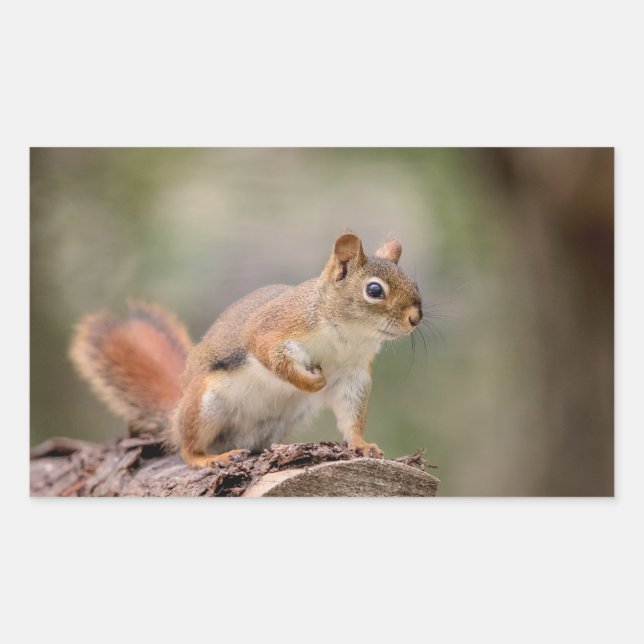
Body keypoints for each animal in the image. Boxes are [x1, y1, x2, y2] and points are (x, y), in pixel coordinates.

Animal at [69, 233, 423, 469]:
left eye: (414, 284)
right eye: (374, 290)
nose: (415, 318)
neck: (347, 336)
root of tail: (176, 411)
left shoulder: (352, 373)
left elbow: (351, 413)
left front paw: (362, 445)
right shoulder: (275, 328)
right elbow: (272, 357)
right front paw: (311, 382)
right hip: (204, 404)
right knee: (186, 447)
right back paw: (208, 458)